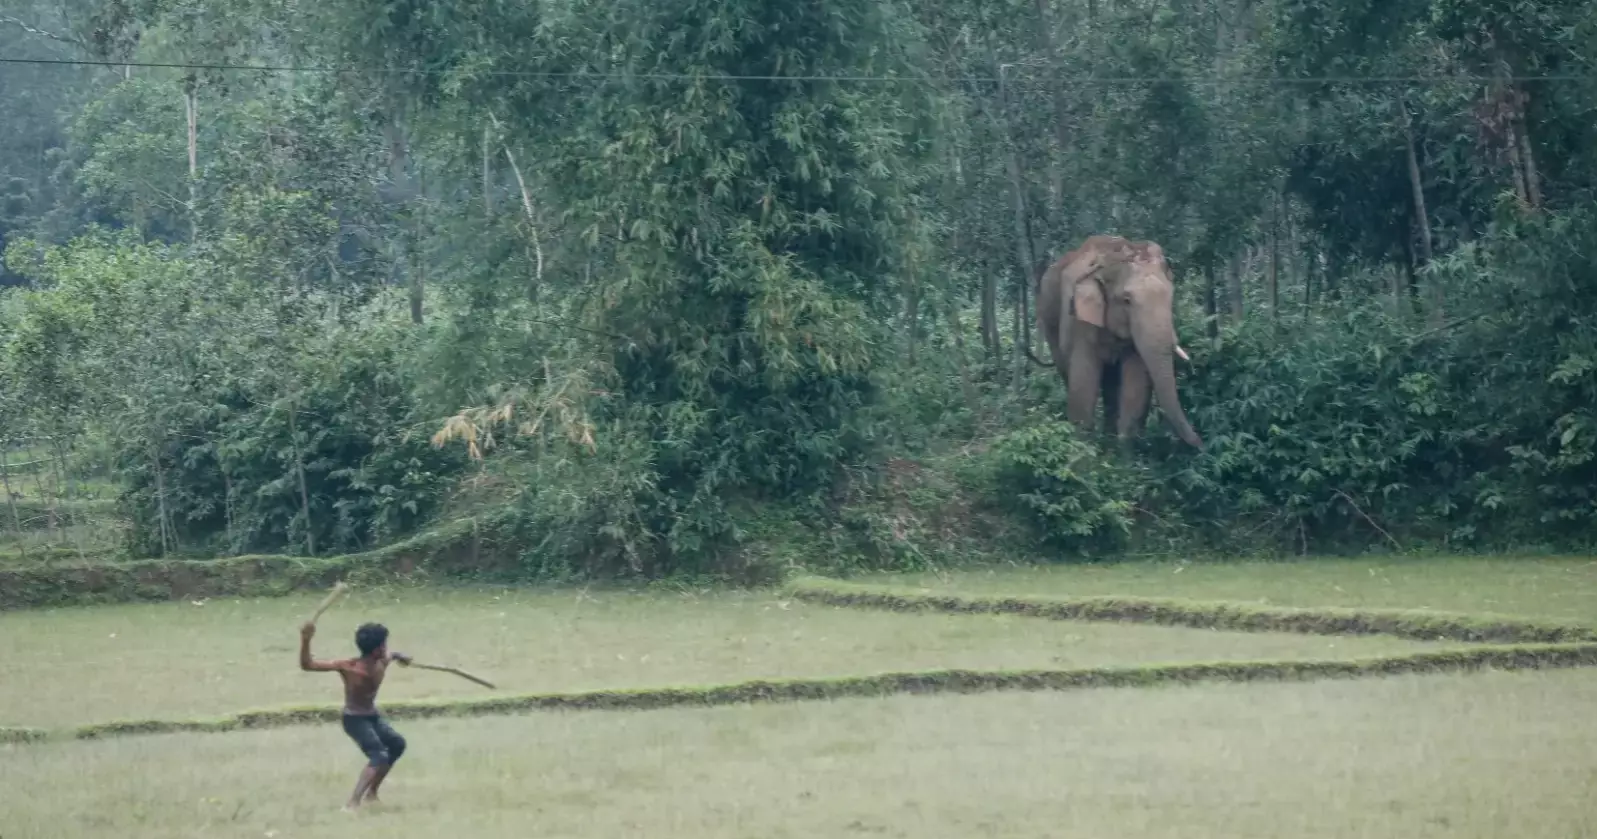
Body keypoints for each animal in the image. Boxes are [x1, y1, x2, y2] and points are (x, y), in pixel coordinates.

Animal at [1033, 234, 1204, 450]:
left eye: (1170, 297)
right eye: (1126, 300)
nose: (1201, 444)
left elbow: (1135, 387)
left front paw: (1122, 450)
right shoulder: (1079, 323)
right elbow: (1083, 384)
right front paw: (1082, 449)